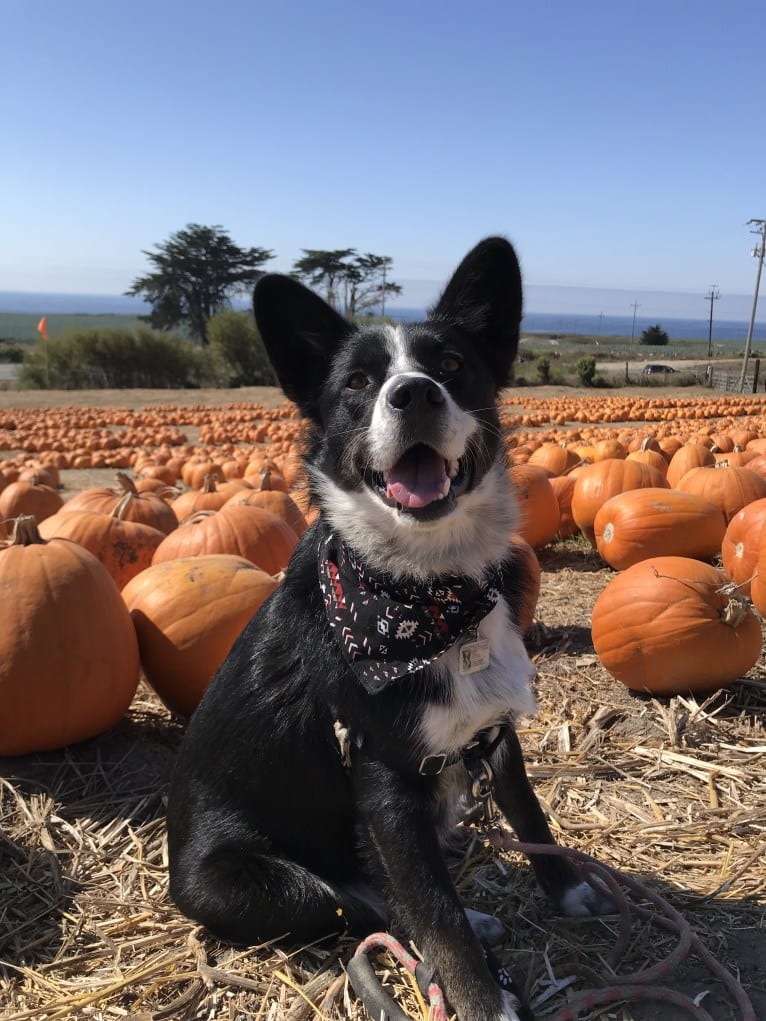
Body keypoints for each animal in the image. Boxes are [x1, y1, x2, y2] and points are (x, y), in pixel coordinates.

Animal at [167, 236, 612, 1021]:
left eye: (452, 366)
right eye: (358, 382)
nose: (414, 394)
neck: (429, 594)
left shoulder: (494, 735)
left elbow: (530, 818)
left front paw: (569, 891)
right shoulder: (383, 785)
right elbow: (435, 911)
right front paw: (482, 997)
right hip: (267, 882)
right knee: (359, 904)